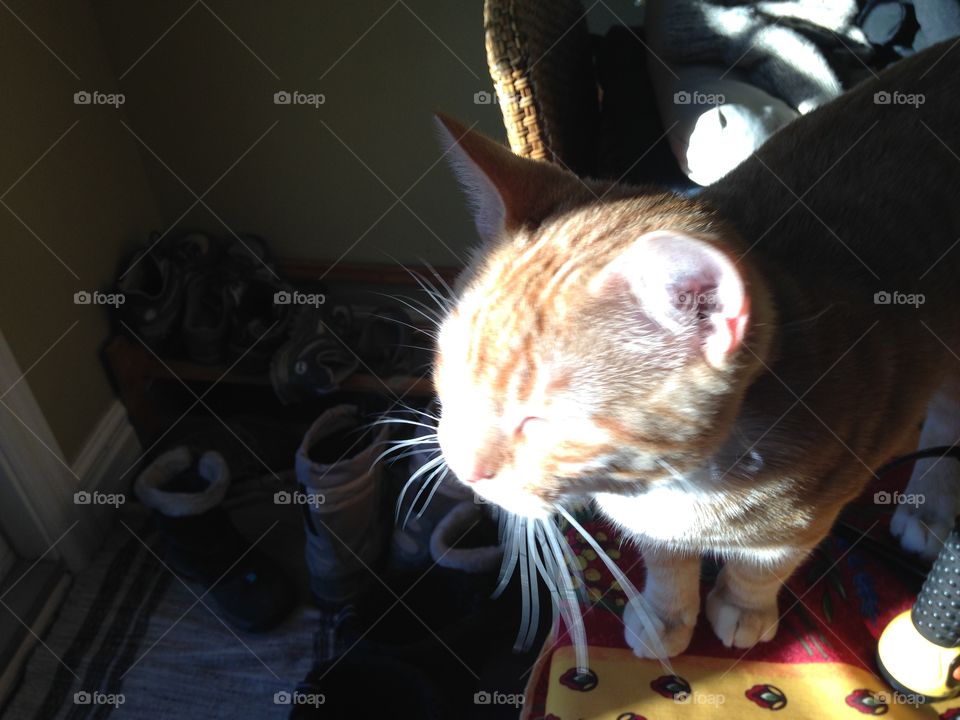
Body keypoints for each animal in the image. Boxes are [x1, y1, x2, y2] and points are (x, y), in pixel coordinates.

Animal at [436, 40, 960, 660]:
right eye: (450, 374)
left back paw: (930, 500)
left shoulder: (820, 505)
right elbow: (665, 559)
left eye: (545, 422)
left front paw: (743, 606)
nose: (464, 469)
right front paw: (666, 612)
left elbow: (768, 562)